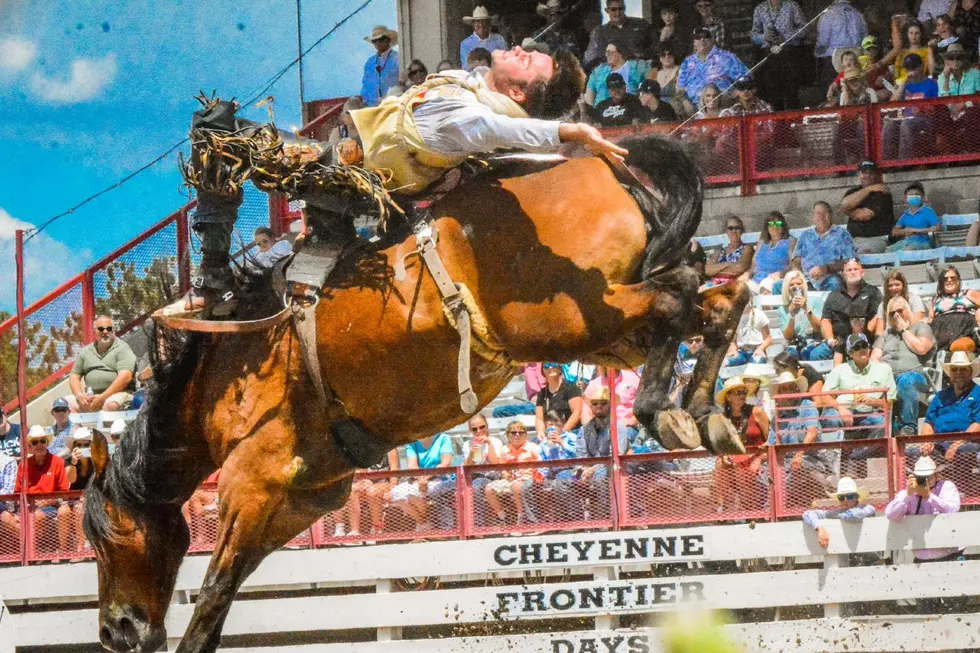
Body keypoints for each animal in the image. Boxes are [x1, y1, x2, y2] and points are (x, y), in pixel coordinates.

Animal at [82, 134, 752, 652]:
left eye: (100, 532)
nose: (114, 632)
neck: (223, 374)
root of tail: (605, 163)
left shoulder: (252, 481)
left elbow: (214, 593)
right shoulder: (300, 501)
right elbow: (224, 594)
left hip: (568, 317)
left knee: (677, 296)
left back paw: (660, 412)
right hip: (603, 330)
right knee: (717, 300)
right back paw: (702, 414)